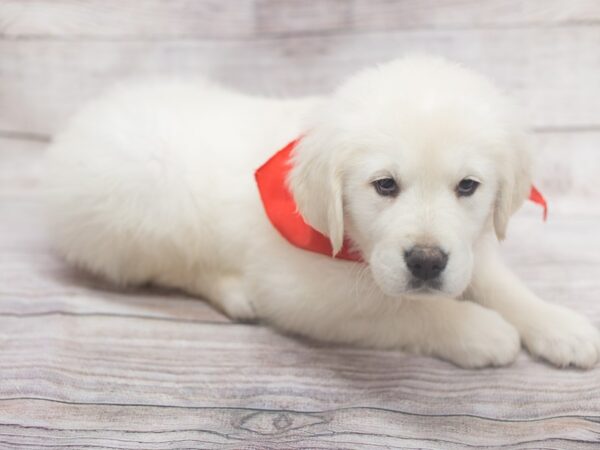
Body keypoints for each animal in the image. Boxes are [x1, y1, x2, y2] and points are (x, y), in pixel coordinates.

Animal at [47, 56, 600, 368]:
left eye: (467, 186)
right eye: (384, 185)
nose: (425, 263)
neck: (354, 246)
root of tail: (66, 137)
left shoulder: (467, 248)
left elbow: (502, 284)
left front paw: (561, 326)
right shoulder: (300, 291)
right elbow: (401, 308)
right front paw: (479, 330)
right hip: (147, 206)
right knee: (171, 268)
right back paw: (235, 293)